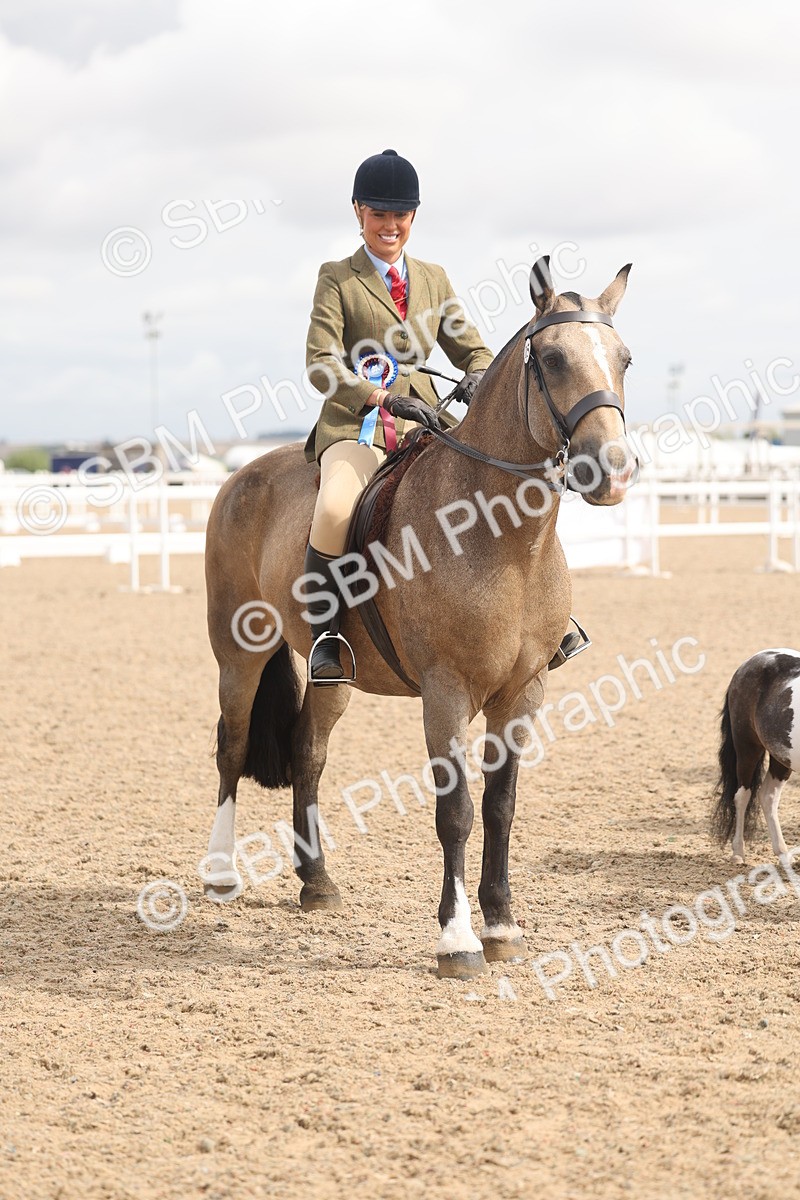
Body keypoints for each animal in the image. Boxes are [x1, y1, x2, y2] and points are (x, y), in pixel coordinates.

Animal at [202, 256, 637, 980]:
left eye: (624, 358)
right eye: (550, 358)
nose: (612, 471)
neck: (502, 539)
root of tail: (242, 476)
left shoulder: (523, 691)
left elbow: (500, 805)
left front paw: (503, 925)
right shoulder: (446, 691)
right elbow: (455, 811)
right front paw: (457, 940)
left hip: (334, 674)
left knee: (308, 752)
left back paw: (317, 882)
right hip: (240, 653)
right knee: (231, 746)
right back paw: (219, 873)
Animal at [712, 648, 800, 864]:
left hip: (781, 757)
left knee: (768, 796)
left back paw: (783, 854)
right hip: (747, 748)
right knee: (742, 796)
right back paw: (738, 853)